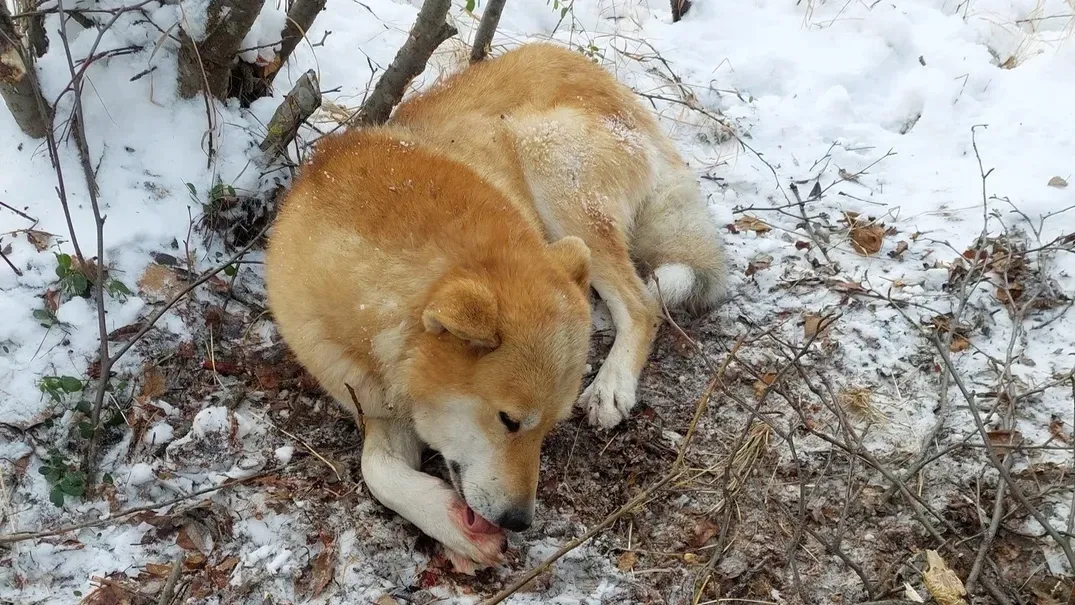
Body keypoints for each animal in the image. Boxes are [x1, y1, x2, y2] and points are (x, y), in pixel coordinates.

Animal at [264, 43, 726, 571]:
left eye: (548, 429)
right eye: (508, 421)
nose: (519, 522)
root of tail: (605, 80)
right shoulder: (377, 405)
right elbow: (375, 471)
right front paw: (450, 522)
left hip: (551, 168)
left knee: (643, 304)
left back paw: (613, 385)